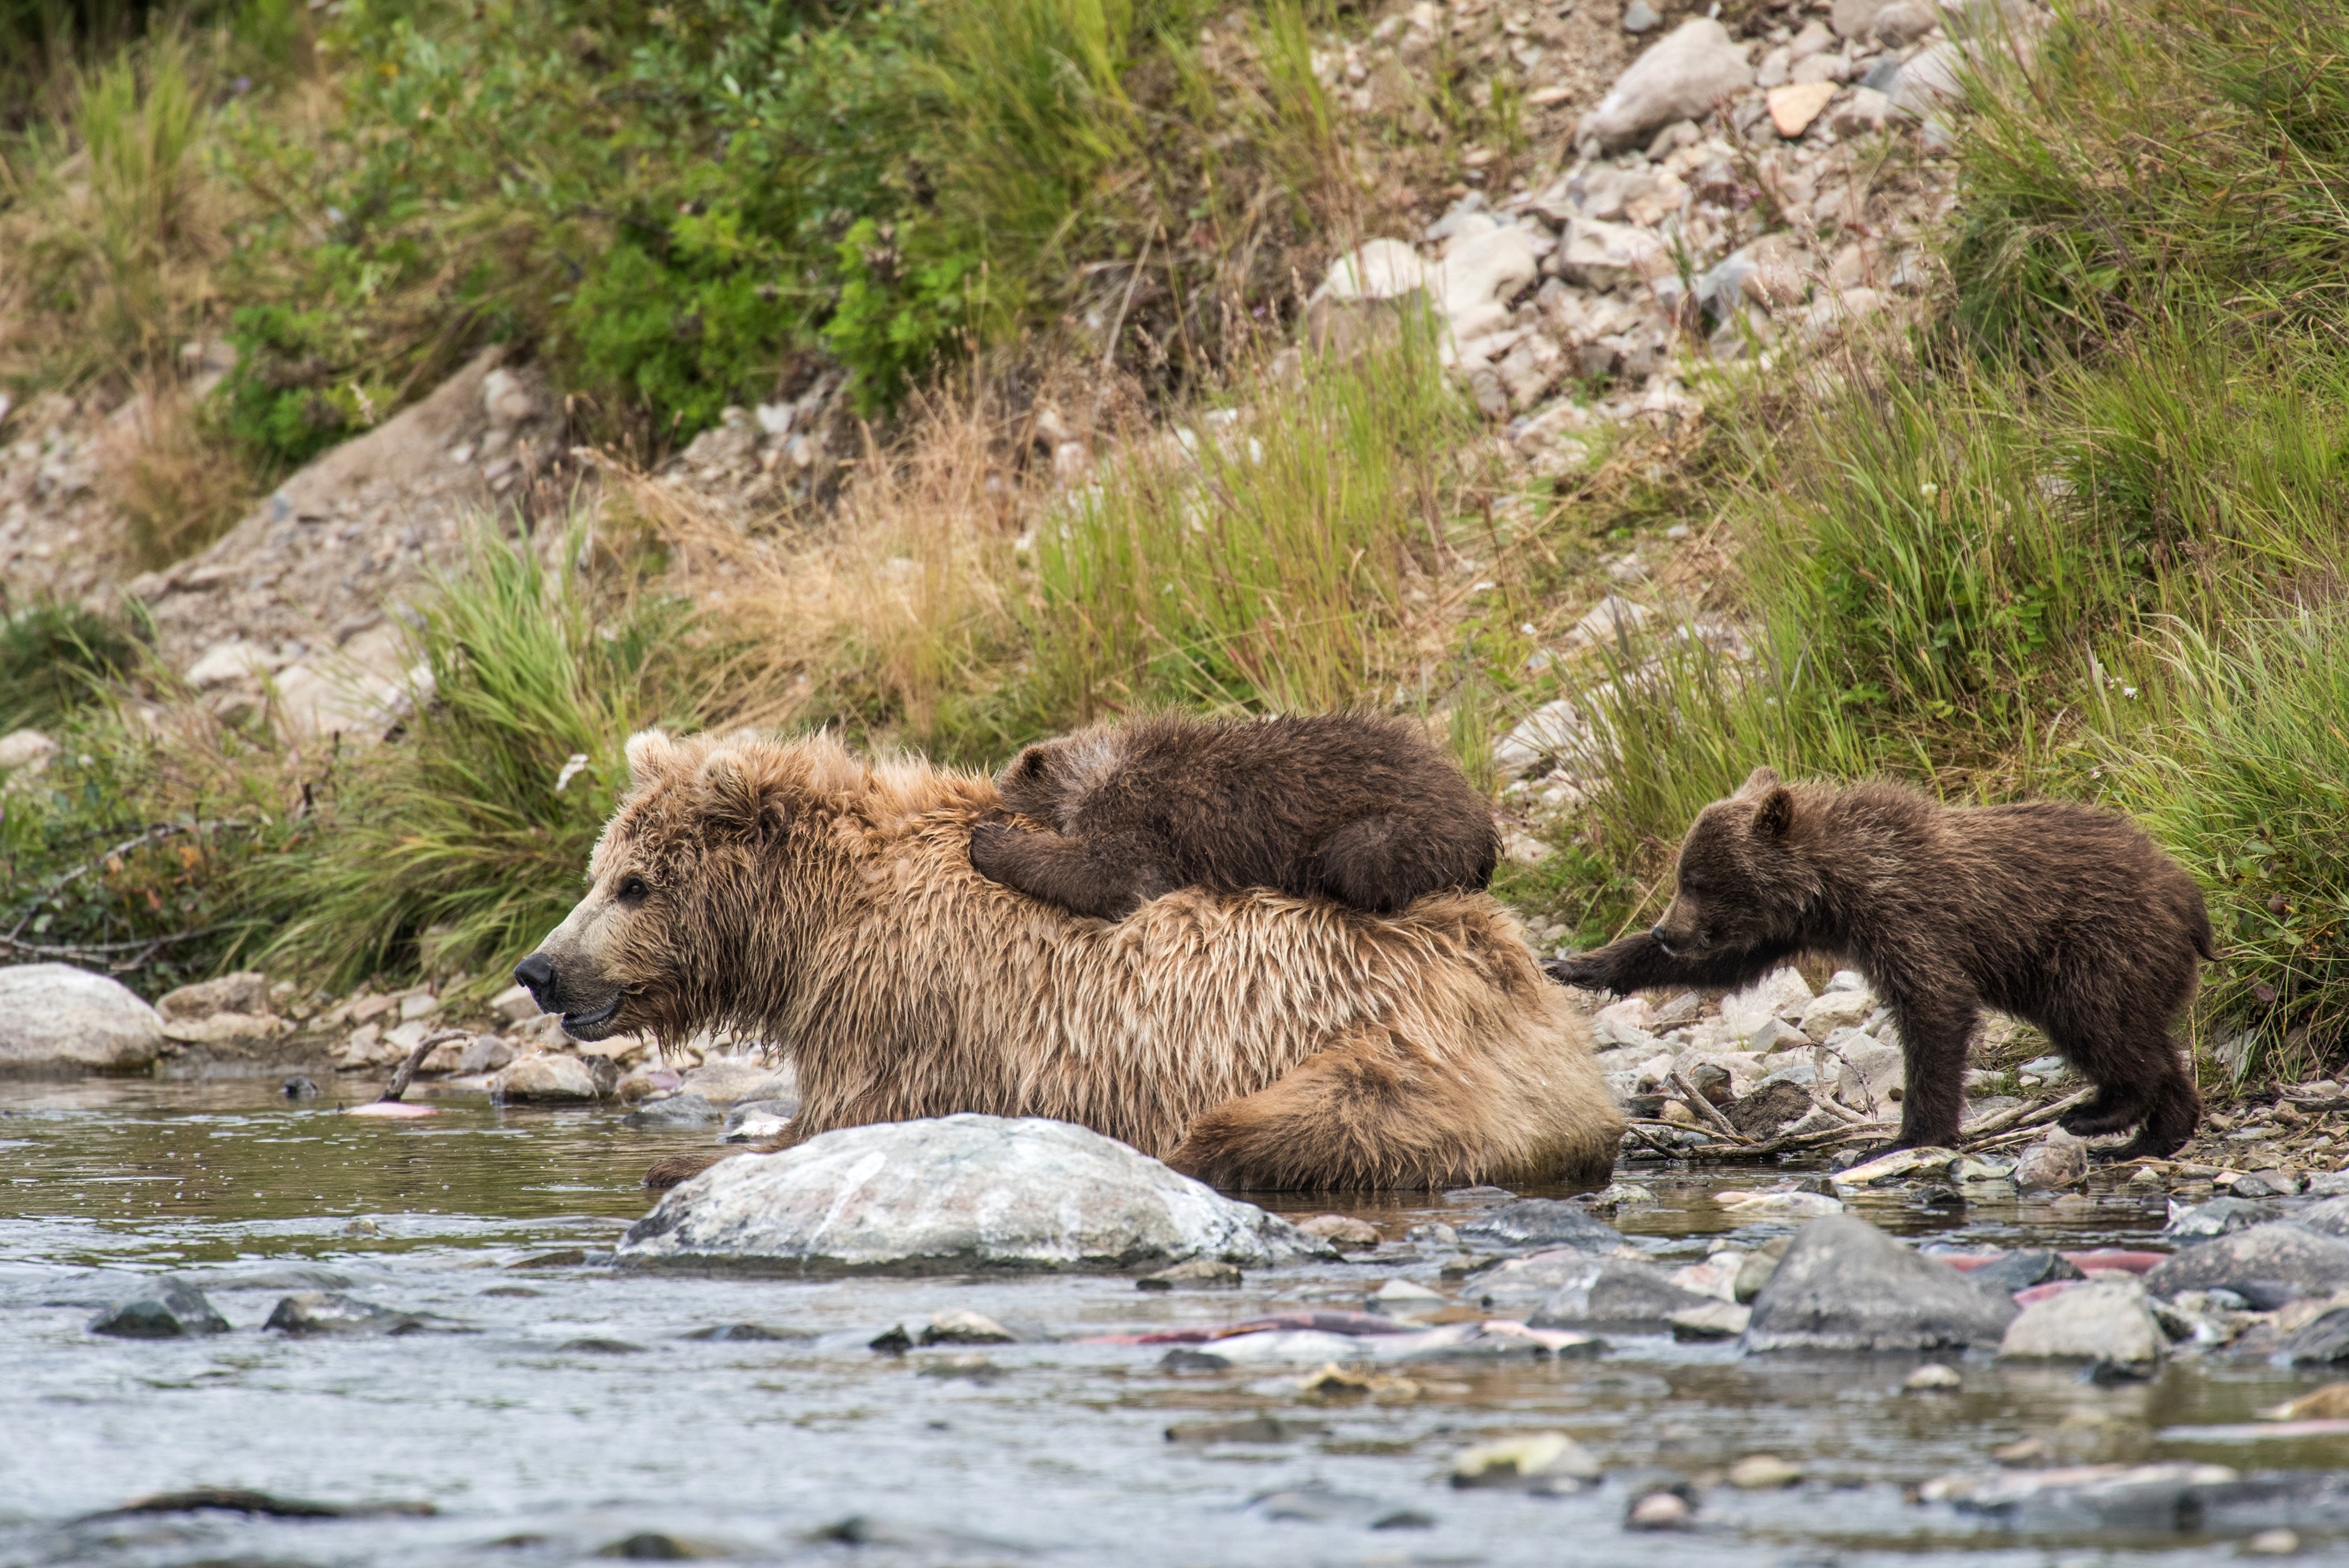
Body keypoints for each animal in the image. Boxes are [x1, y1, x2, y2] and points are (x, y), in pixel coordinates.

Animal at [966, 711, 1500, 921]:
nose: (987, 809)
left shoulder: (1140, 815)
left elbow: (1123, 875)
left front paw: (990, 841)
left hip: (1388, 830)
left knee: (1362, 859)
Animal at [1546, 767, 2210, 1159]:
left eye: (1695, 880)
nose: (1666, 930)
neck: (1835, 887)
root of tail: (2187, 893)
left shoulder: (1906, 916)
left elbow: (1934, 1006)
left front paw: (1906, 1136)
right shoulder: (1791, 927)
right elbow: (1726, 962)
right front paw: (1575, 965)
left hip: (2095, 943)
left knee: (2095, 1023)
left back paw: (2102, 1113)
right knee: (2140, 1037)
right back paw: (2154, 1134)